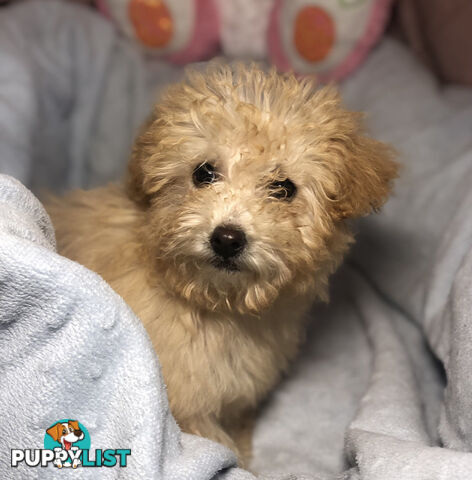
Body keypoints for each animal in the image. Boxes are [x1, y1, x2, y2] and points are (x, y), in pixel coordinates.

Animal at [46, 62, 396, 464]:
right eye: (203, 173)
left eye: (283, 188)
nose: (227, 239)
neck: (215, 303)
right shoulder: (183, 403)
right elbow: (211, 441)